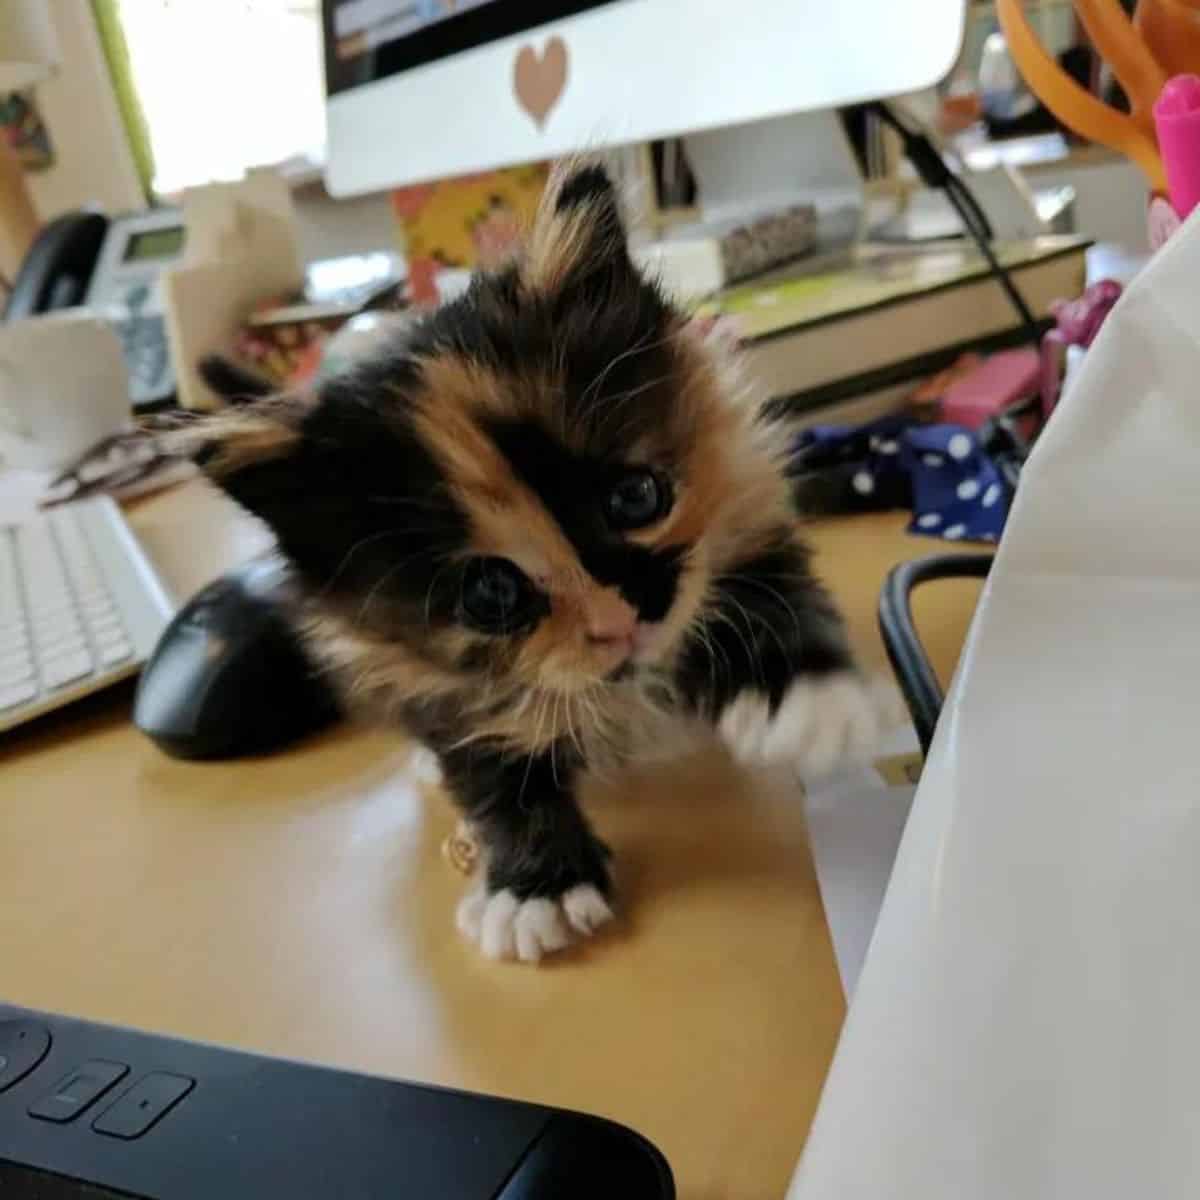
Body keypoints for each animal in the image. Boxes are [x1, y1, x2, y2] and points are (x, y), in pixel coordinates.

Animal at [184, 162, 883, 964]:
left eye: (635, 496)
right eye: (490, 593)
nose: (622, 621)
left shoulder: (743, 488)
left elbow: (771, 592)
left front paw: (806, 698)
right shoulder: (421, 673)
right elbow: (485, 762)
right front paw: (535, 887)